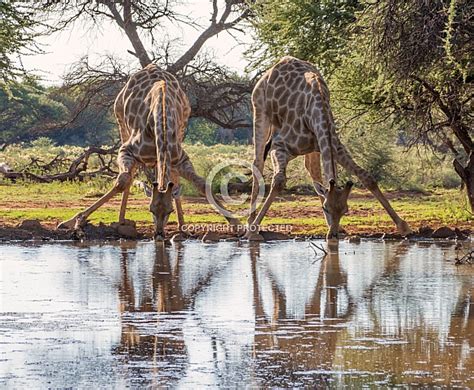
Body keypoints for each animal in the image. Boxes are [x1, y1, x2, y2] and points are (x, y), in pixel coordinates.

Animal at [58, 63, 237, 239]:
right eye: (150, 209)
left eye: (169, 210)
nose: (159, 234)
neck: (161, 122)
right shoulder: (126, 150)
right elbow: (122, 181)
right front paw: (76, 220)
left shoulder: (181, 158)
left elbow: (201, 183)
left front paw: (235, 222)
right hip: (121, 124)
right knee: (130, 176)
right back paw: (121, 220)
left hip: (178, 135)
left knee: (172, 177)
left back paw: (181, 227)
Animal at [248, 56, 412, 239]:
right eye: (325, 208)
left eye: (345, 210)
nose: (333, 235)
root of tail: (273, 68)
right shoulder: (280, 147)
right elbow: (278, 181)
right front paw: (253, 231)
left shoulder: (335, 147)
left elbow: (366, 177)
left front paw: (403, 226)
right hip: (260, 111)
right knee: (257, 162)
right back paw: (249, 223)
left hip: (312, 147)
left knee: (312, 170)